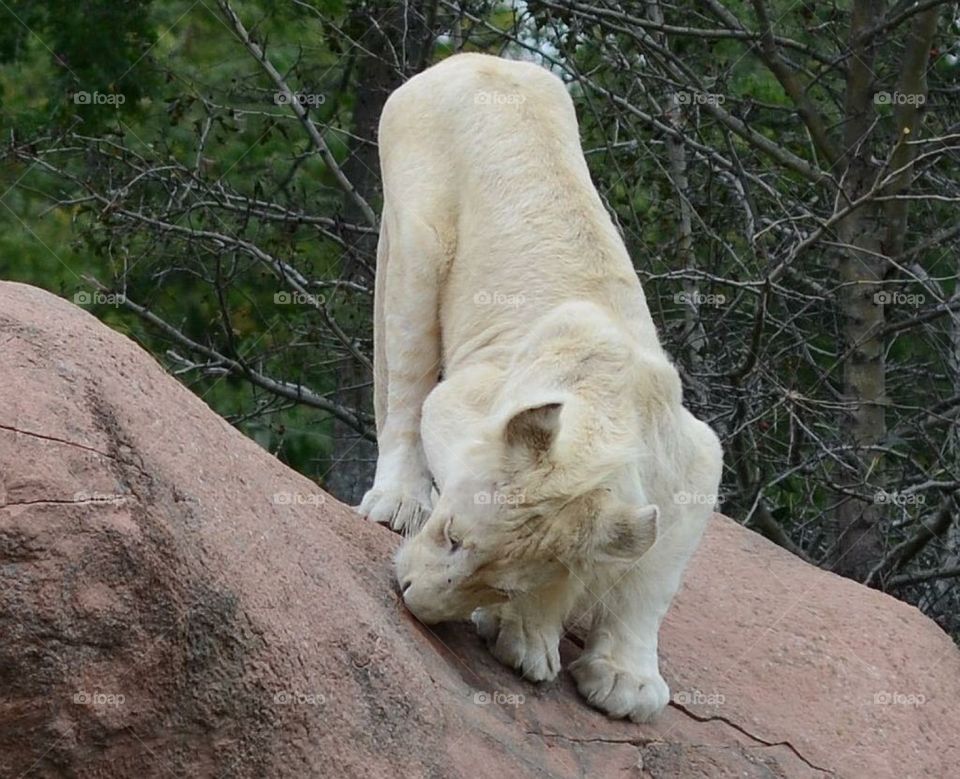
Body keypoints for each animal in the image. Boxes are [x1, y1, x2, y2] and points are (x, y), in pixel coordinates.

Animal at [358, 53, 720, 724]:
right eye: (452, 535)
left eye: (498, 583)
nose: (415, 601)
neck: (608, 404)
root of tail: (475, 57)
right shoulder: (473, 397)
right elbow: (434, 410)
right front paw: (527, 640)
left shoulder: (695, 456)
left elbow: (654, 572)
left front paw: (625, 682)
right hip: (418, 227)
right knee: (406, 374)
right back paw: (395, 501)